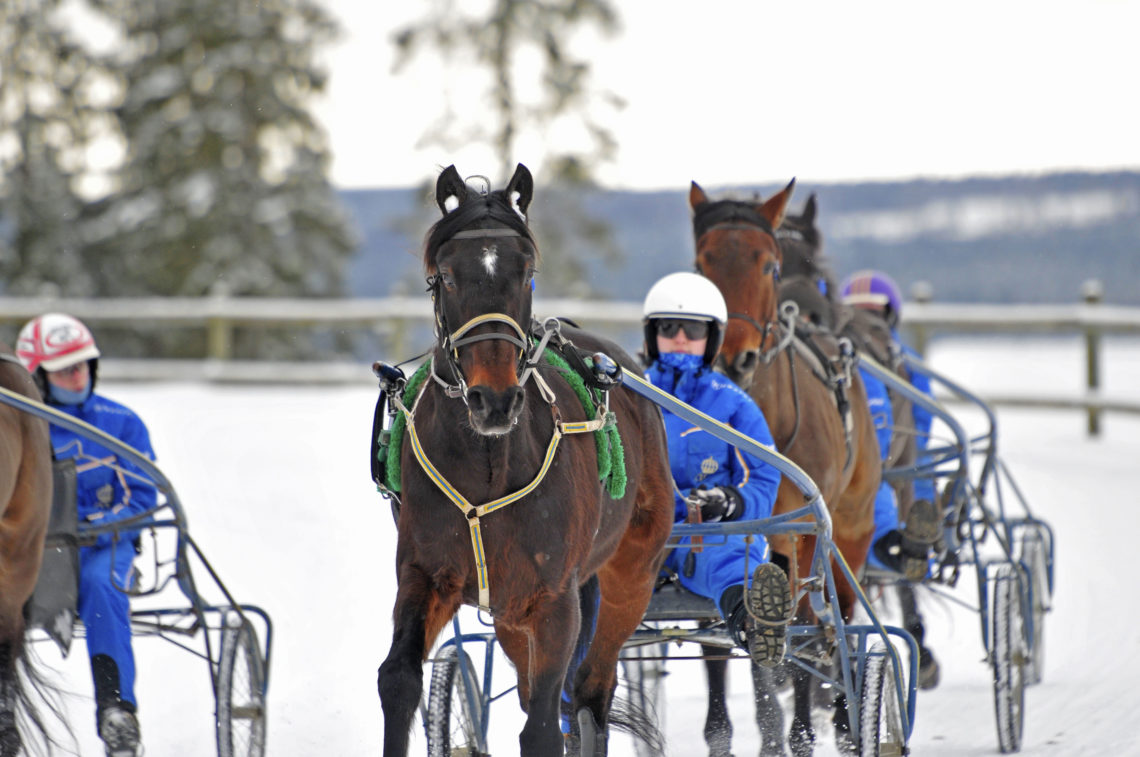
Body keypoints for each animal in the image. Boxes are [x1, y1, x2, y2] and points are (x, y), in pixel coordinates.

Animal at [373, 164, 674, 756]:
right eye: (446, 275)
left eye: (527, 272)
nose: (494, 399)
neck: (487, 460)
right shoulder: (426, 572)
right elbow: (397, 679)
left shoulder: (554, 598)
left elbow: (542, 728)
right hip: (512, 615)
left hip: (632, 575)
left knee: (589, 693)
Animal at [684, 180, 880, 752]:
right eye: (703, 263)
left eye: (767, 264)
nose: (734, 356)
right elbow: (724, 644)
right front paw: (742, 732)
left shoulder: (800, 529)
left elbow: (805, 628)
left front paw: (798, 736)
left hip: (852, 523)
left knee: (840, 612)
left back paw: (843, 718)